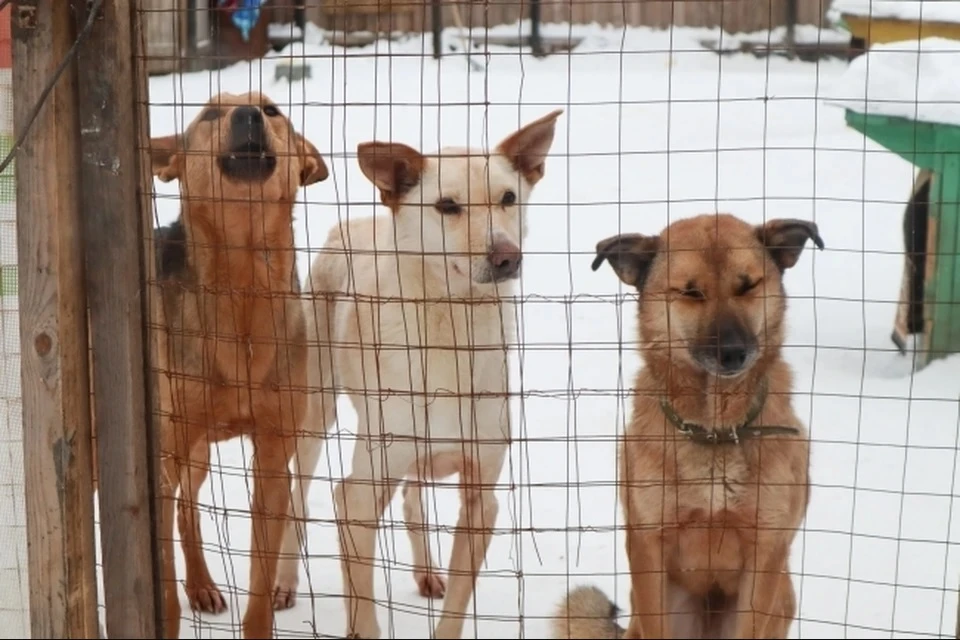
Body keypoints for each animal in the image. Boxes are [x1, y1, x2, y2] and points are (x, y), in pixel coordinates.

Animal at [148, 91, 328, 640]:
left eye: (271, 111)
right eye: (209, 114)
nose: (246, 116)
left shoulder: (272, 457)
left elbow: (260, 584)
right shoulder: (160, 456)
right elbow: (160, 586)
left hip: (198, 453)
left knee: (187, 510)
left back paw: (203, 586)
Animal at [272, 107, 564, 636]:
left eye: (508, 198)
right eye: (447, 206)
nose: (507, 256)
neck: (452, 329)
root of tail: (354, 223)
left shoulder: (481, 498)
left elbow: (455, 610)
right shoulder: (358, 497)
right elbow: (363, 605)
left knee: (410, 499)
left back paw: (426, 571)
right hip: (315, 415)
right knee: (297, 498)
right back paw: (284, 581)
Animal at [552, 214, 820, 640]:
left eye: (747, 285)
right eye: (691, 292)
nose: (733, 353)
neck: (714, 431)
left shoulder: (766, 552)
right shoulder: (648, 546)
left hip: (783, 595)